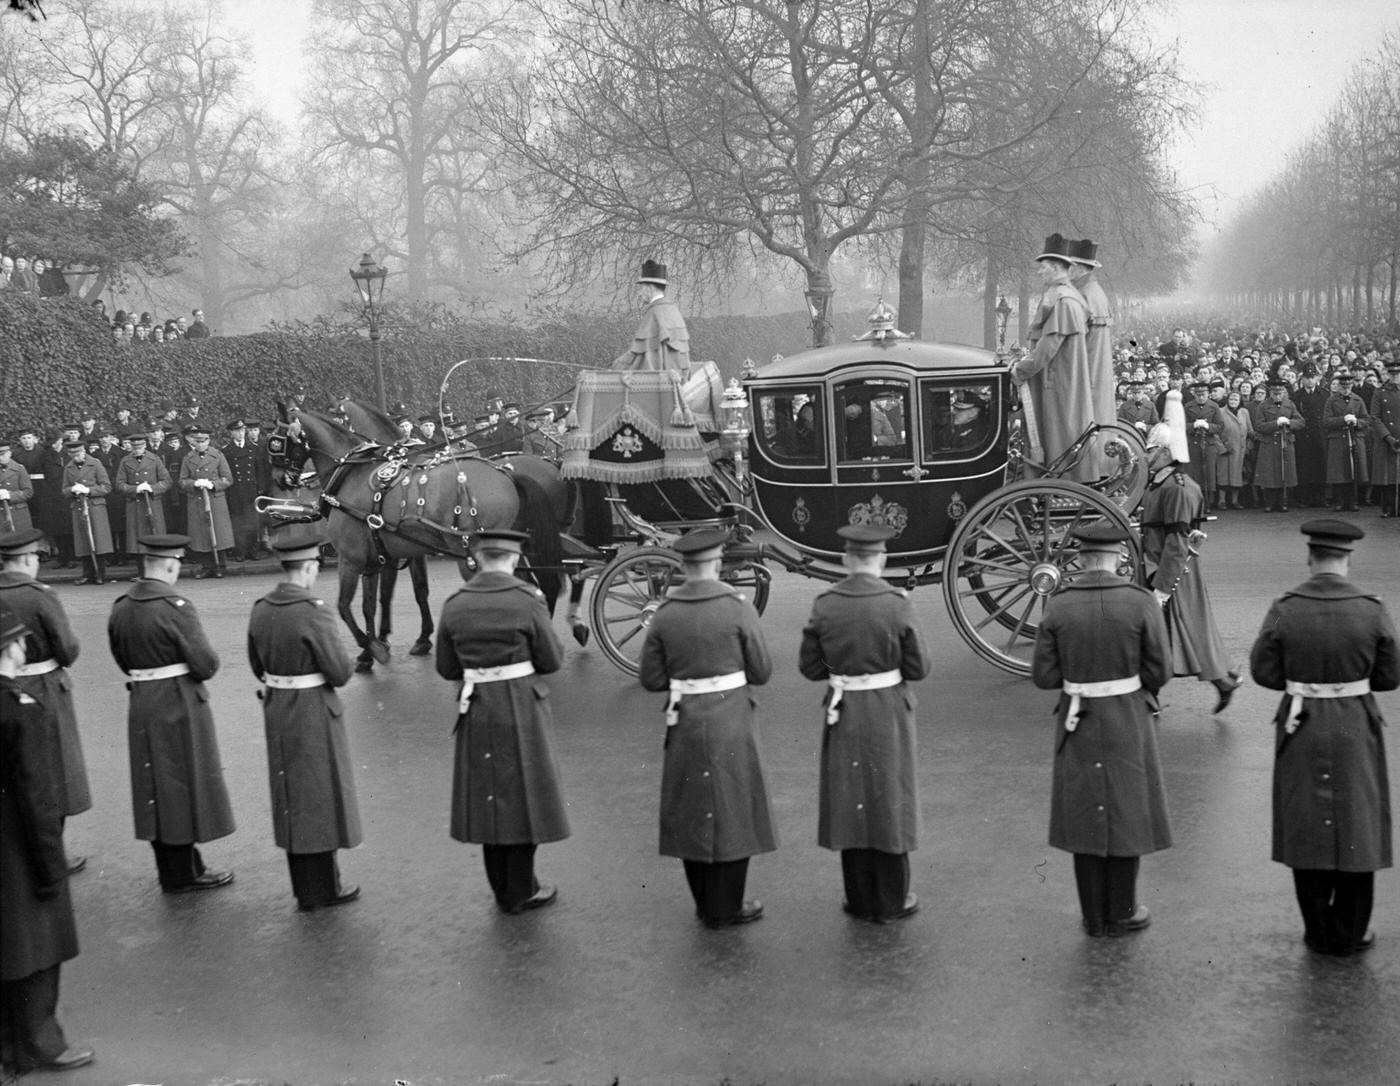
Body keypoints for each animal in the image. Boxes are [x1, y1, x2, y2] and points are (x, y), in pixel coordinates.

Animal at [274, 397, 568, 668]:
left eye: (276, 440)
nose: (280, 479)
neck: (353, 473)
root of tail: (506, 474)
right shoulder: (381, 556)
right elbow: (376, 601)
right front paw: (378, 645)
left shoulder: (352, 558)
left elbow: (346, 605)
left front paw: (376, 646)